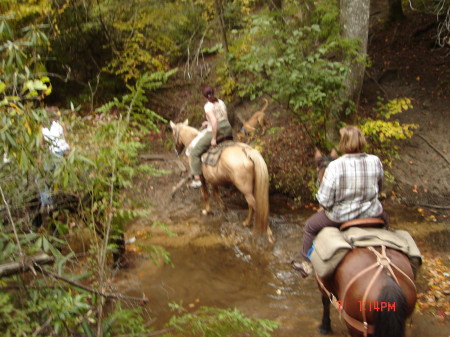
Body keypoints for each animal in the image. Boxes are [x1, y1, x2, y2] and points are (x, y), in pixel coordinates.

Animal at [312, 150, 414, 336]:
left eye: (319, 176)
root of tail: (388, 283)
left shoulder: (321, 281)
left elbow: (325, 301)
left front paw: (325, 326)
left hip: (356, 324)